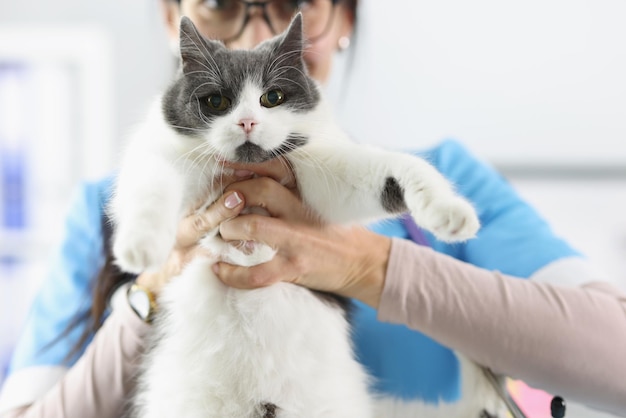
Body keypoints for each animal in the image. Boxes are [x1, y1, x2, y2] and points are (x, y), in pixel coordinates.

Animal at [109, 13, 504, 418]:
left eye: (272, 98)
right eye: (217, 101)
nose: (247, 122)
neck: (249, 171)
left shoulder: (318, 173)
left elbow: (385, 171)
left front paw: (450, 211)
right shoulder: (165, 160)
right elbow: (150, 187)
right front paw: (140, 246)